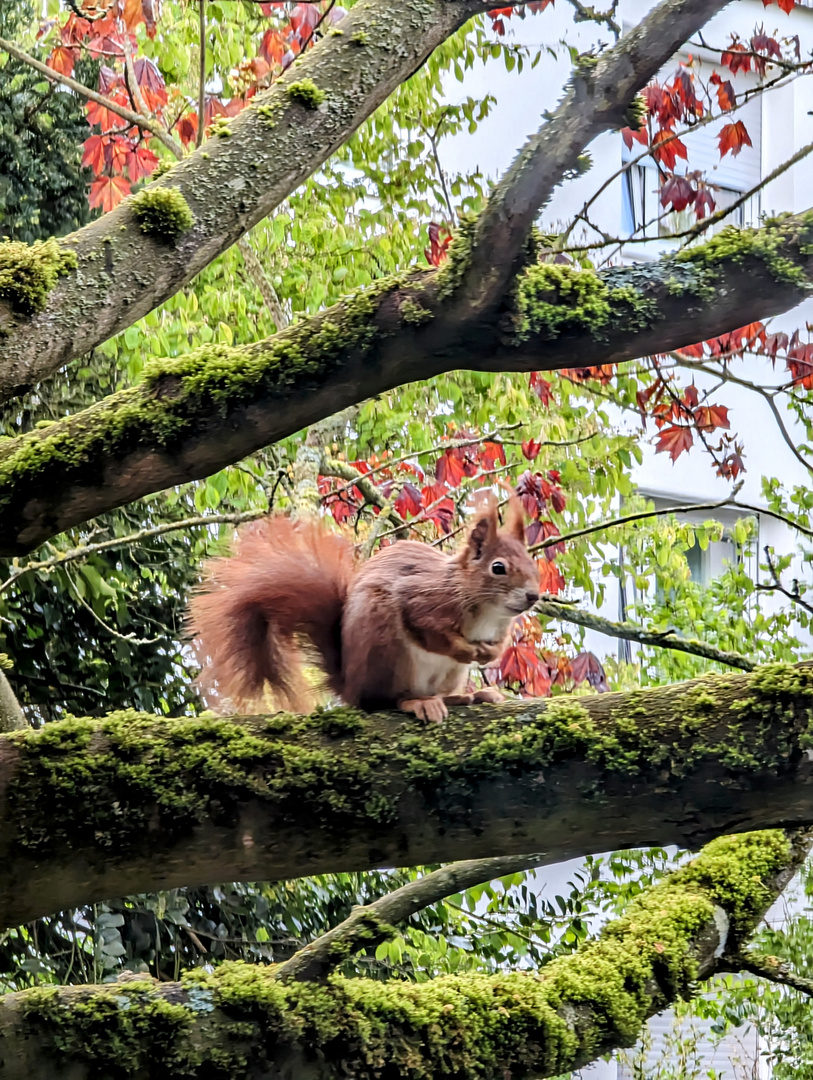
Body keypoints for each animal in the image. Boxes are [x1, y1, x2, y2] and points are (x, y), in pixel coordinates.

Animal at [186, 494, 535, 717]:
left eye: (531, 562)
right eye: (498, 568)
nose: (533, 596)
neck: (488, 610)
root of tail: (349, 685)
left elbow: (497, 643)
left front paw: (489, 653)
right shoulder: (422, 599)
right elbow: (430, 631)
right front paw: (466, 649)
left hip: (445, 675)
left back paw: (469, 696)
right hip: (383, 645)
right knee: (380, 701)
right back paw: (416, 703)